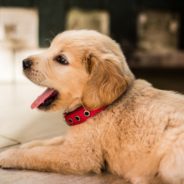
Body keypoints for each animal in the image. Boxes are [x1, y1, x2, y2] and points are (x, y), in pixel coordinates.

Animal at [0, 29, 184, 183]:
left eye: (61, 59)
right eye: (50, 47)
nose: (24, 62)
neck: (95, 109)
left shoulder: (79, 155)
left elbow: (38, 155)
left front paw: (9, 154)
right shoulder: (75, 139)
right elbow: (51, 141)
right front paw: (28, 144)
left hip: (169, 161)